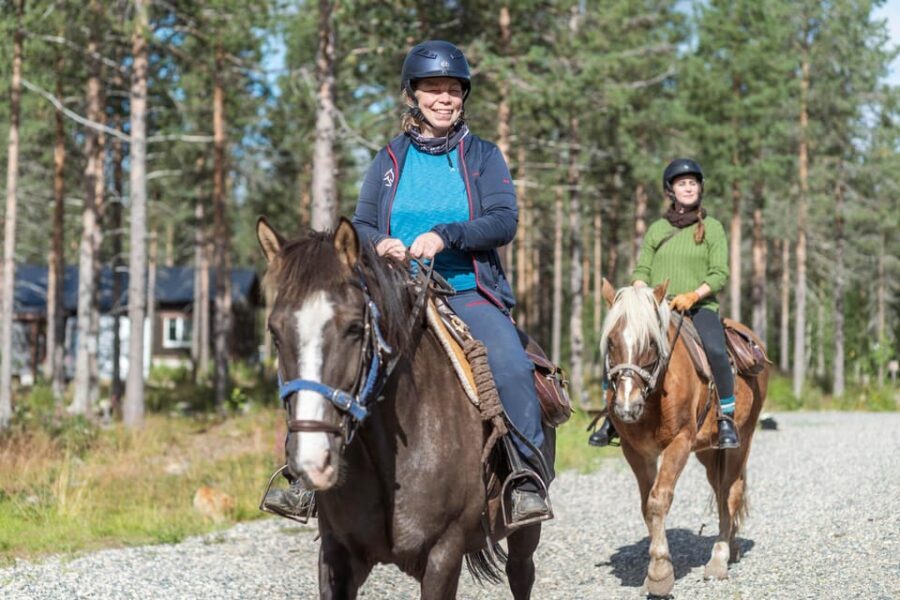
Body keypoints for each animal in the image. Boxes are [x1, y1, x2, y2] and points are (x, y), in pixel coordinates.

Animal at [257, 216, 545, 600]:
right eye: (275, 333)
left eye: (354, 328)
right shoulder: (337, 553)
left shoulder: (443, 554)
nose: (313, 459)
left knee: (520, 573)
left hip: (525, 532)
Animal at [598, 279, 768, 597]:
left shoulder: (679, 443)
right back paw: (732, 546)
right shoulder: (636, 451)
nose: (627, 406)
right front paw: (655, 569)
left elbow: (659, 499)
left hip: (742, 439)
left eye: (651, 343)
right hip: (708, 451)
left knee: (730, 491)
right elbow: (647, 505)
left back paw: (719, 558)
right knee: (720, 490)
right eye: (611, 341)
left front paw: (660, 573)